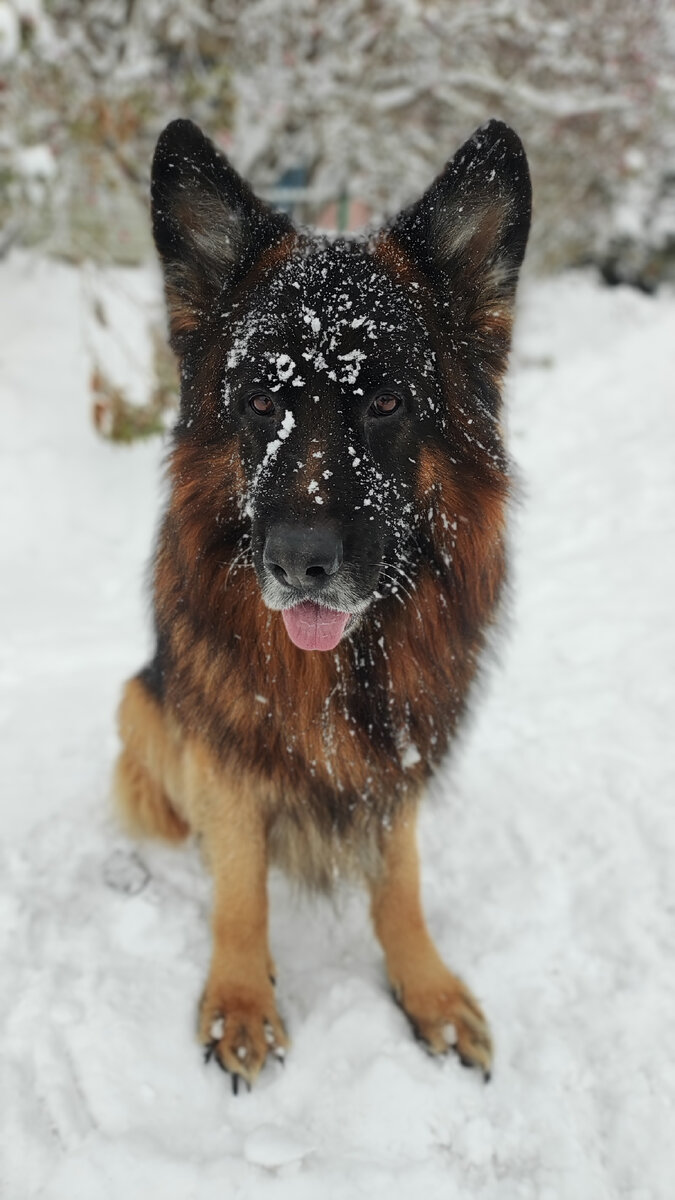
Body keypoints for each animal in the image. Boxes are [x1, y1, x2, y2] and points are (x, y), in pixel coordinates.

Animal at [112, 117, 528, 1094]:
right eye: (262, 400)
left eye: (385, 401)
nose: (299, 563)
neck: (338, 665)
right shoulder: (224, 752)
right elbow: (239, 890)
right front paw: (240, 1002)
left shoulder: (399, 753)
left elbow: (400, 885)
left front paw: (427, 992)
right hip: (140, 703)